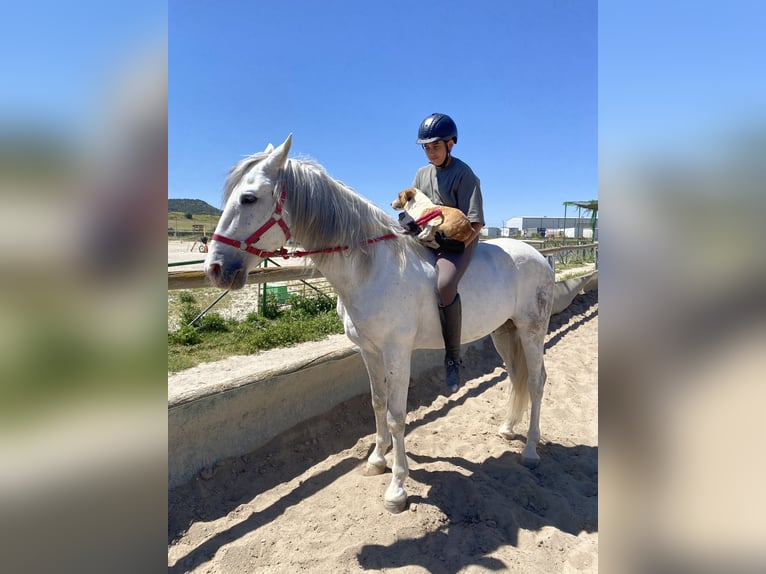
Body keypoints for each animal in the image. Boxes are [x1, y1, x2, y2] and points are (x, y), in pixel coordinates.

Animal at [204, 136, 552, 516]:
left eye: (248, 198)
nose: (215, 269)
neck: (371, 269)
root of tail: (539, 256)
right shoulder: (368, 350)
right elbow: (377, 402)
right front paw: (376, 459)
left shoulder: (397, 353)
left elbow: (398, 415)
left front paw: (397, 488)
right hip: (504, 331)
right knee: (515, 375)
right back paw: (507, 428)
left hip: (531, 331)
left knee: (536, 381)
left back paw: (530, 451)